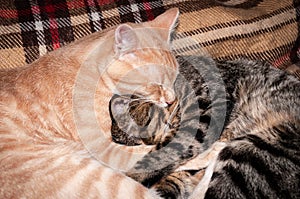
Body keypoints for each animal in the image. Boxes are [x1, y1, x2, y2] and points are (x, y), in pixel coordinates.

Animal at [109, 55, 298, 198]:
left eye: (146, 123)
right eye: (139, 142)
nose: (150, 141)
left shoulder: (208, 109)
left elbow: (165, 153)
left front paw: (134, 176)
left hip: (250, 154)